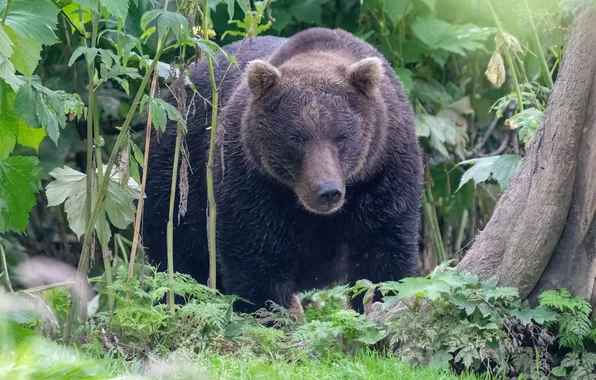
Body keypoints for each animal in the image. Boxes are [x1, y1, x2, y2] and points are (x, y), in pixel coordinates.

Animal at [143, 26, 424, 312]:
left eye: (341, 137)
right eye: (296, 138)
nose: (327, 191)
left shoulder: (383, 171)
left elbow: (383, 254)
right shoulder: (256, 180)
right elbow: (257, 259)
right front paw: (270, 310)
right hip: (178, 175)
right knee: (178, 255)